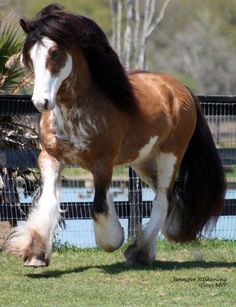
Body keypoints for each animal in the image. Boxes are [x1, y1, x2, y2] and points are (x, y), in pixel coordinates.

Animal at [4, 4, 224, 268]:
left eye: (55, 52)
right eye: (29, 56)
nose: (41, 102)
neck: (74, 112)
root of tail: (182, 89)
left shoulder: (102, 163)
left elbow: (99, 207)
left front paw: (114, 239)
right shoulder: (50, 157)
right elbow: (48, 201)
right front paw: (35, 253)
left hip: (169, 156)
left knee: (163, 199)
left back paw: (138, 251)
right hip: (143, 162)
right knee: (172, 197)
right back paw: (147, 249)